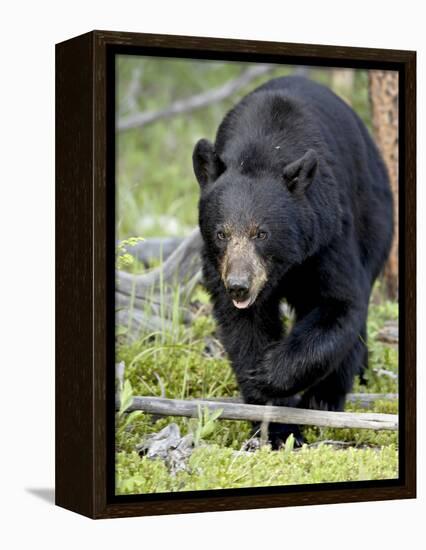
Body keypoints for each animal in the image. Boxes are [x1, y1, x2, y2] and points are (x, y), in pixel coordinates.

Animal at [193, 77, 392, 448]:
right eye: (221, 233)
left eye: (262, 233)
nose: (239, 285)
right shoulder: (217, 265)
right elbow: (244, 327)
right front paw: (275, 424)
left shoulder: (327, 234)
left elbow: (340, 303)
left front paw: (270, 373)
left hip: (375, 217)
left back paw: (326, 398)